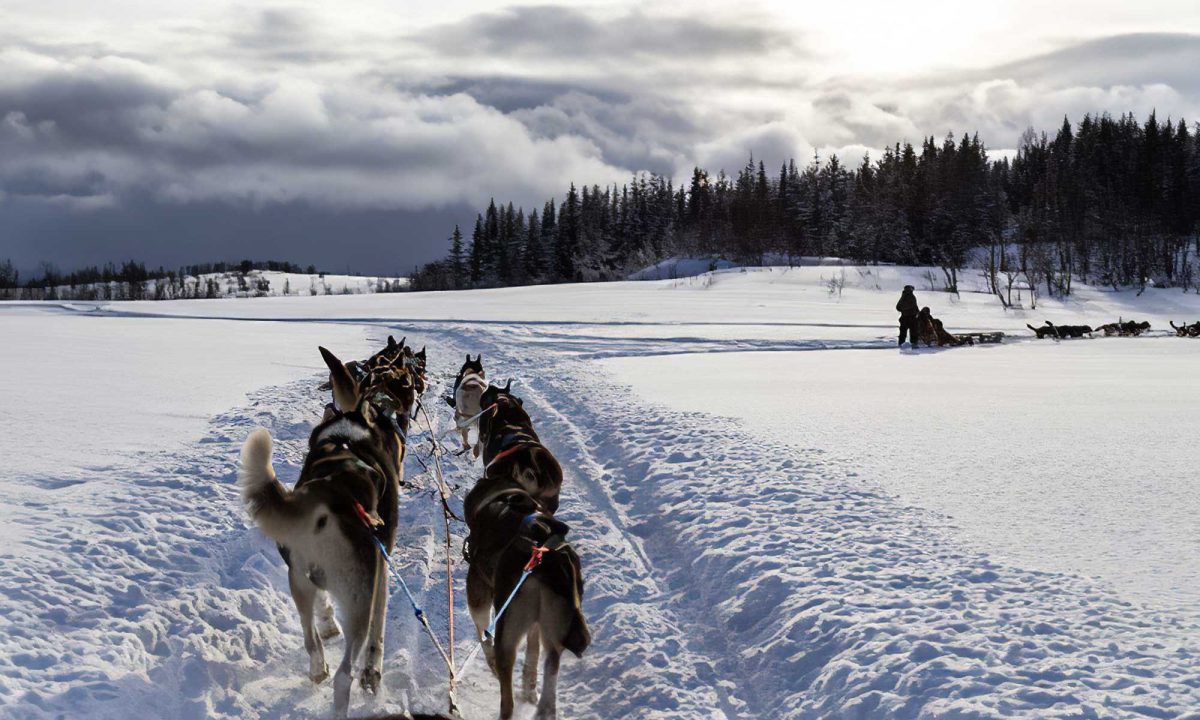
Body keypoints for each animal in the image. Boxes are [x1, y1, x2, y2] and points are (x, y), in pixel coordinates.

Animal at [236, 345, 405, 715]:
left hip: (298, 580)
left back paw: (318, 667)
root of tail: (326, 495)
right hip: (359, 599)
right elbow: (378, 634)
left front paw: (328, 625)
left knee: (310, 638)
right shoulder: (381, 569)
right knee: (345, 674)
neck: (345, 439)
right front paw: (373, 675)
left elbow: (322, 613)